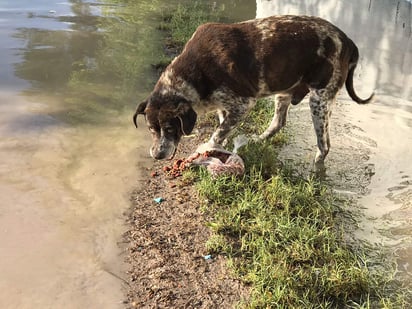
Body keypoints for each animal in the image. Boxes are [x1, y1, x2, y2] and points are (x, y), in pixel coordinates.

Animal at [133, 15, 374, 166]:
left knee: (324, 146)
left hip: (320, 101)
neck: (193, 74)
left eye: (170, 128)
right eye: (151, 129)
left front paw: (207, 148)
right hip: (284, 92)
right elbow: (223, 127)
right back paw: (259, 139)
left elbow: (218, 132)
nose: (157, 155)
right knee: (278, 123)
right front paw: (221, 146)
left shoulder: (243, 103)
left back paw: (315, 171)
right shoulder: (224, 105)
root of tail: (348, 41)